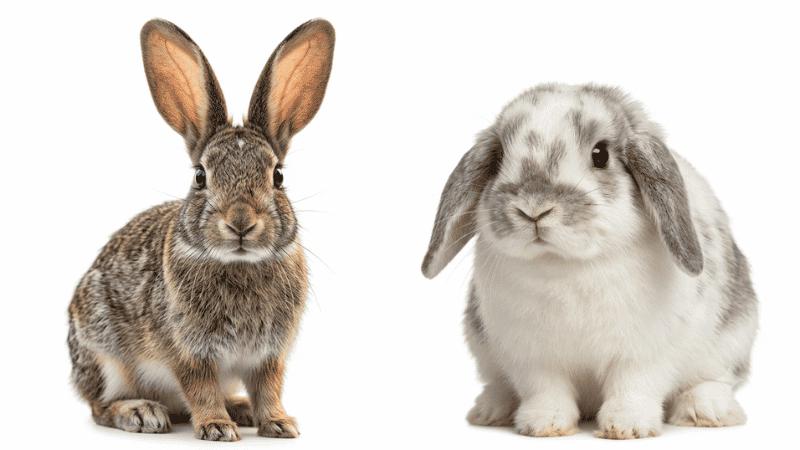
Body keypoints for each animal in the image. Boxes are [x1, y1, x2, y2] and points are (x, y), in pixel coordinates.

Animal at [67, 18, 334, 441]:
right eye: (199, 176)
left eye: (277, 176)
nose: (240, 221)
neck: (240, 264)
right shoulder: (189, 352)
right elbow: (200, 388)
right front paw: (216, 427)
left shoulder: (268, 356)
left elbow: (268, 387)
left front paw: (278, 422)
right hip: (104, 355)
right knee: (99, 406)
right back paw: (141, 412)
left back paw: (240, 408)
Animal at [422, 84, 758, 439]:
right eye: (498, 157)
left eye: (601, 154)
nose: (534, 209)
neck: (564, 265)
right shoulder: (533, 356)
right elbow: (545, 389)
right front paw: (545, 424)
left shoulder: (643, 353)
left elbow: (633, 385)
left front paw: (626, 426)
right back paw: (490, 410)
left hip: (732, 339)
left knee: (715, 379)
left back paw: (707, 410)